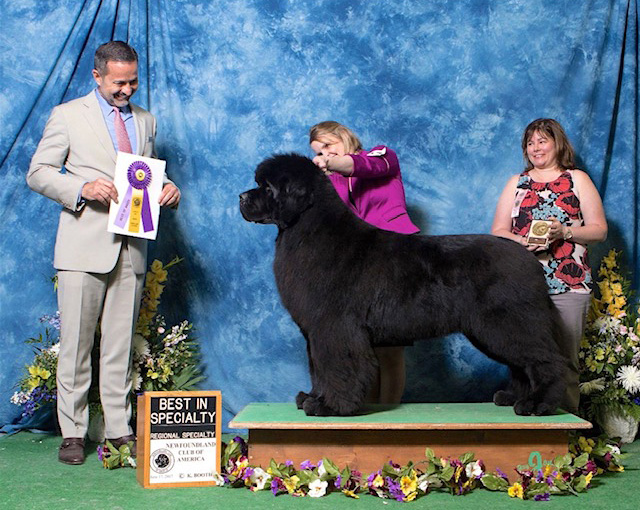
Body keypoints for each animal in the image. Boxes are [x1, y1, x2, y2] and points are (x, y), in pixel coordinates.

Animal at [239, 153, 564, 416]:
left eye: (268, 188)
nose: (241, 197)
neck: (308, 229)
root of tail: (528, 258)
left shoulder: (334, 325)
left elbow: (336, 365)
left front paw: (330, 406)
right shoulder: (317, 331)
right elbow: (317, 366)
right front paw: (313, 398)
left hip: (508, 322)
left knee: (547, 361)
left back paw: (537, 404)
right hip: (491, 330)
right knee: (522, 364)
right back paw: (512, 397)